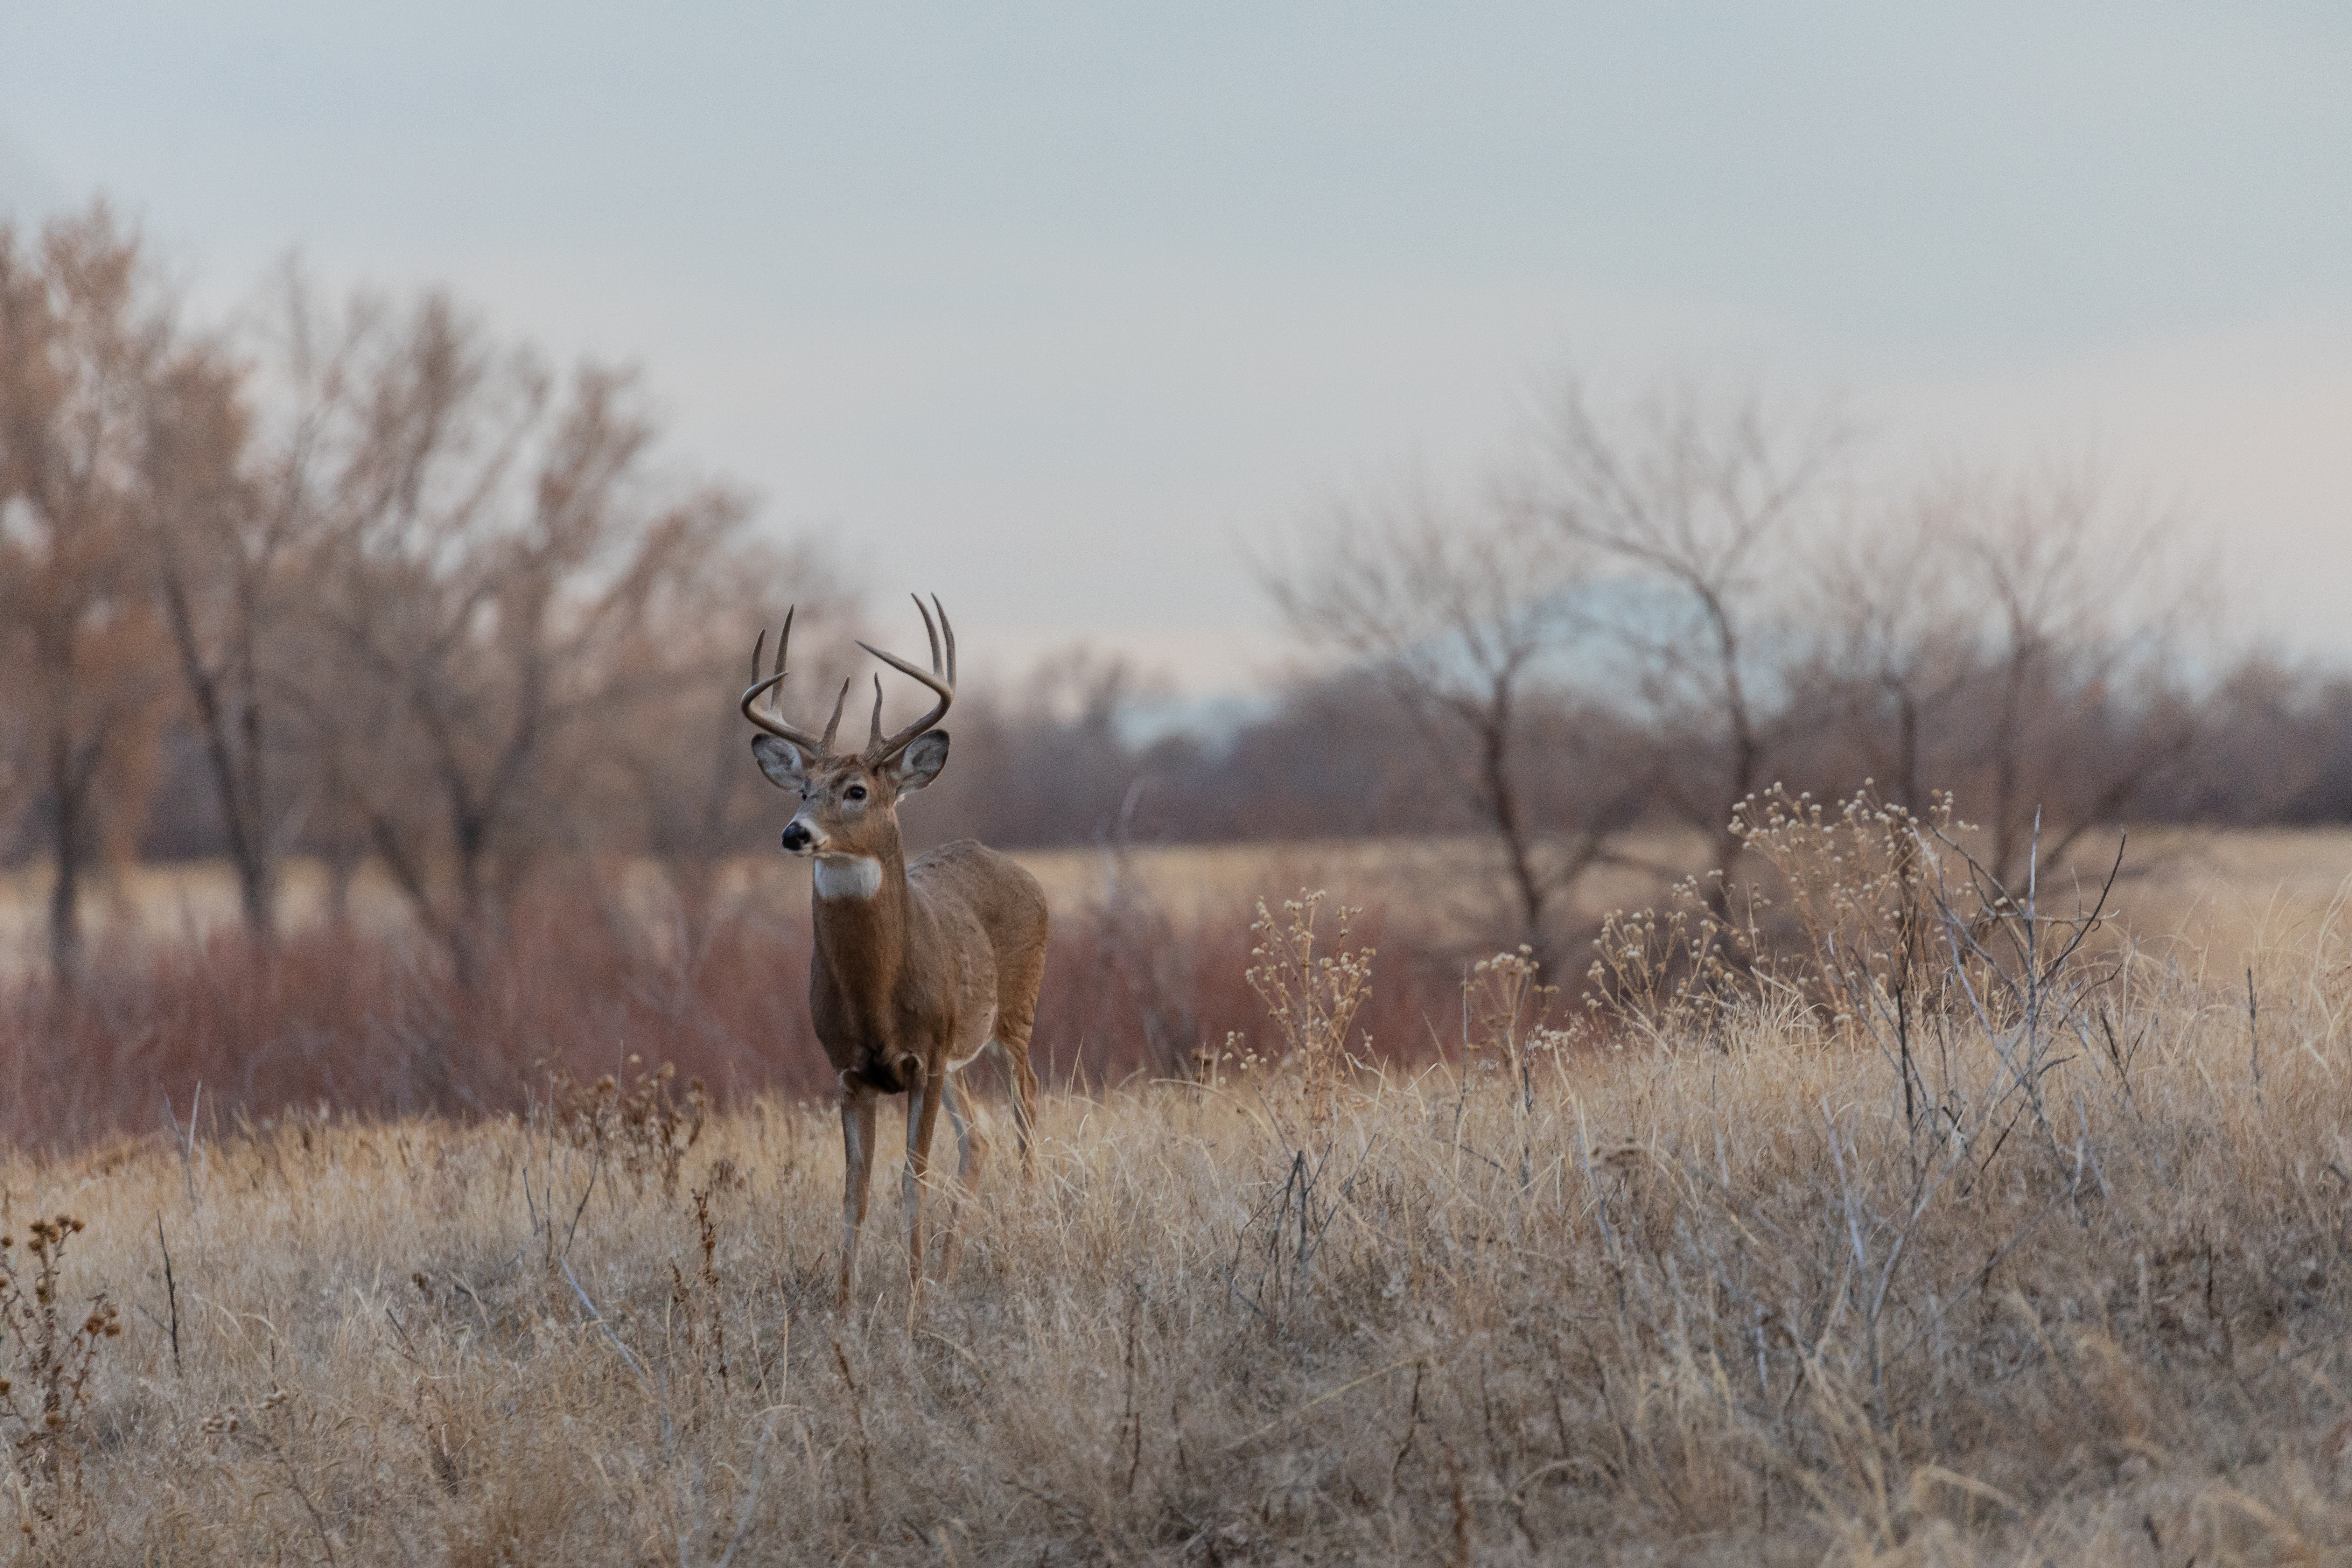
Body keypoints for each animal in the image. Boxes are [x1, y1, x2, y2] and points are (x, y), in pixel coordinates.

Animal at [740, 596, 1047, 1308]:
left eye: (856, 791)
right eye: (804, 789)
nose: (795, 833)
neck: (876, 998)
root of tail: (1022, 872)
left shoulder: (924, 1060)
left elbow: (913, 1180)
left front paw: (909, 1305)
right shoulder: (849, 1070)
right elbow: (853, 1193)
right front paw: (847, 1309)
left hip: (1014, 1019)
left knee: (1026, 1118)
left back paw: (1025, 1242)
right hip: (961, 1053)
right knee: (982, 1135)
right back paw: (949, 1270)